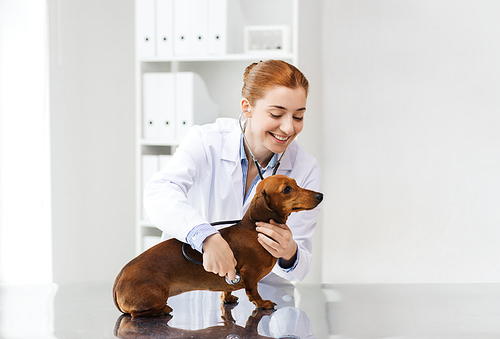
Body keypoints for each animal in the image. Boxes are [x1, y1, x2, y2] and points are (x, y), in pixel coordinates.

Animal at [112, 175, 324, 318]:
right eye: (287, 189)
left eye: (295, 182)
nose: (320, 195)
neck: (253, 230)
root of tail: (118, 281)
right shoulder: (249, 273)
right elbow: (253, 291)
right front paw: (263, 303)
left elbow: (228, 287)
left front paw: (228, 297)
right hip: (157, 294)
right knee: (136, 314)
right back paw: (164, 309)